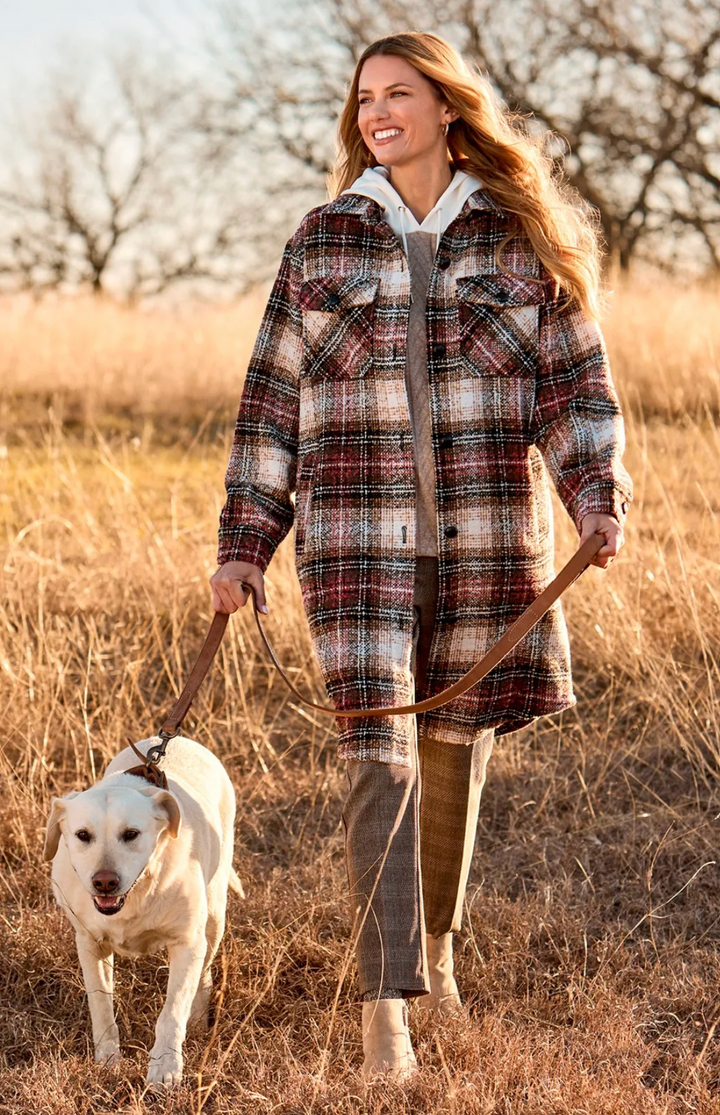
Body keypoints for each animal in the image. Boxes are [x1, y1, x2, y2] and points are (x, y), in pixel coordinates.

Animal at [44, 735, 242, 1083]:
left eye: (131, 834)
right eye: (82, 835)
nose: (104, 882)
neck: (137, 893)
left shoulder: (187, 942)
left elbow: (173, 1010)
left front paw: (165, 1069)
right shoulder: (89, 943)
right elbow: (101, 1004)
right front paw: (108, 1060)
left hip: (215, 916)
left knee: (204, 972)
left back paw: (198, 1021)